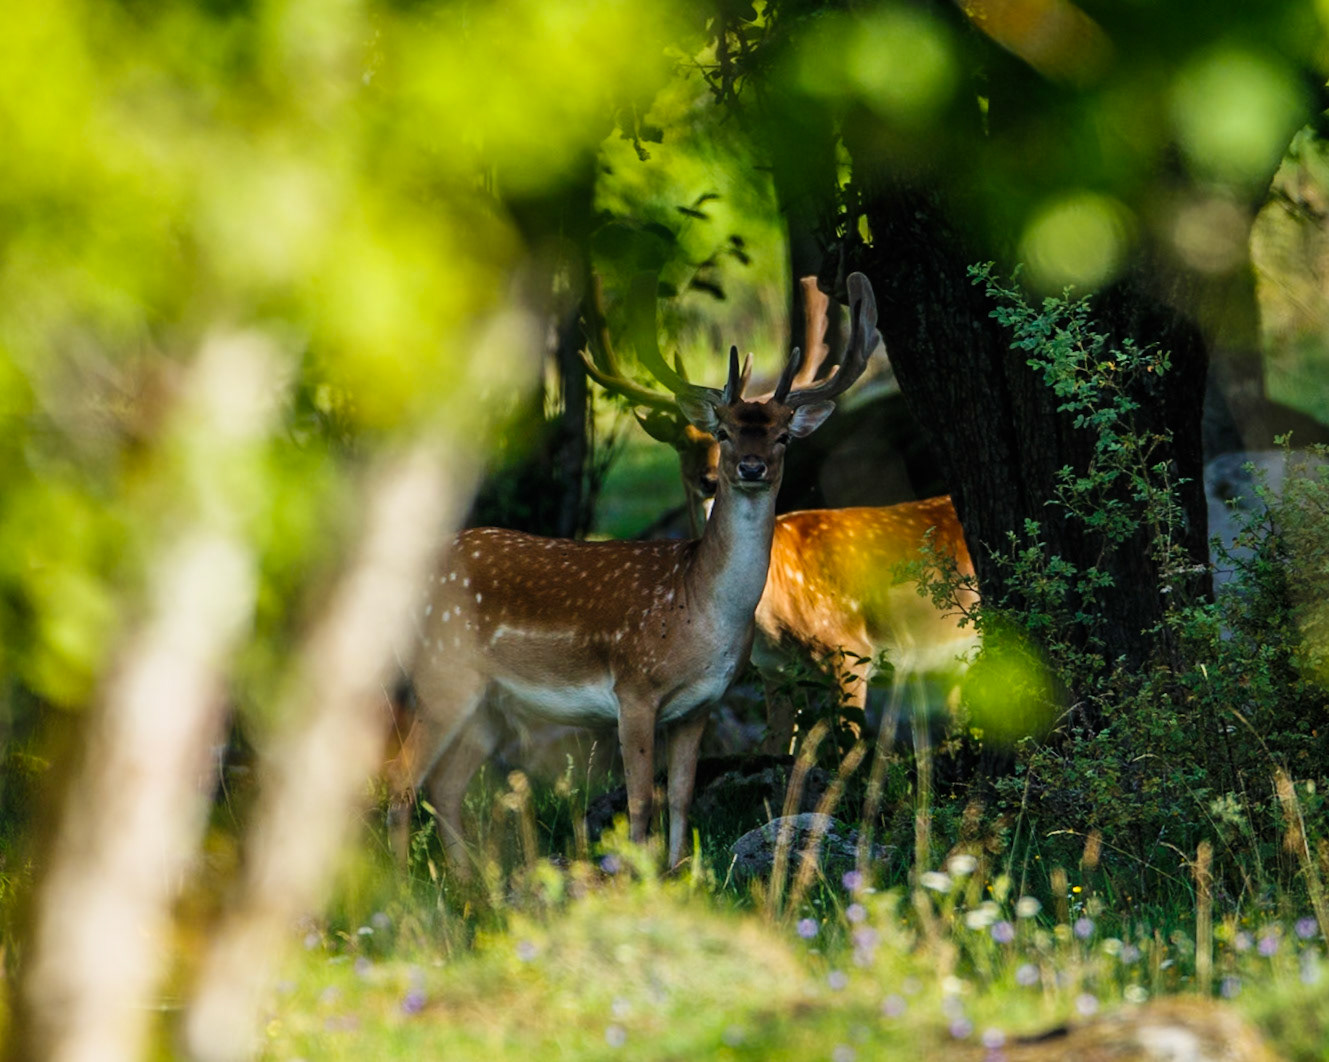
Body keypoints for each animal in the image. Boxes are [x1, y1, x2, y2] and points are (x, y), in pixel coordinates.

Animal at [386, 273, 877, 876]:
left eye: (783, 434)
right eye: (724, 430)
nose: (750, 467)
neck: (696, 608)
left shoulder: (701, 704)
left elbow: (682, 795)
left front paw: (677, 871)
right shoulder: (635, 687)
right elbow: (642, 797)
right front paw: (634, 876)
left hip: (488, 704)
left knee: (447, 786)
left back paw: (468, 884)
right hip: (441, 674)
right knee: (401, 782)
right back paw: (405, 889)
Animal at [583, 275, 978, 756]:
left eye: (784, 436)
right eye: (694, 438)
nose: (717, 477)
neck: (772, 609)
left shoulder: (849, 650)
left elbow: (846, 746)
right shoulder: (775, 671)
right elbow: (775, 752)